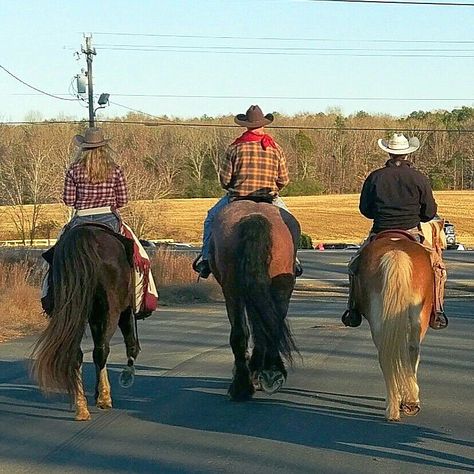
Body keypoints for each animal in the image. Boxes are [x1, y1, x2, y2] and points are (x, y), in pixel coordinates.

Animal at [31, 224, 139, 420]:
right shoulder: (124, 309)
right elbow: (127, 341)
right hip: (109, 310)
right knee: (101, 350)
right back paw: (104, 398)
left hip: (76, 312)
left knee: (76, 353)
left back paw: (81, 406)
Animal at [210, 200, 300, 400]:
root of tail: (255, 217)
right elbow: (259, 327)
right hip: (280, 287)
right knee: (270, 326)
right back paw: (270, 372)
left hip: (234, 290)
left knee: (244, 332)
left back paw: (244, 383)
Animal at [358, 220, 446, 420]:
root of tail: (396, 252)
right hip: (419, 319)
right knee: (412, 348)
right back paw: (409, 401)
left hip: (379, 318)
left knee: (386, 352)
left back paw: (394, 404)